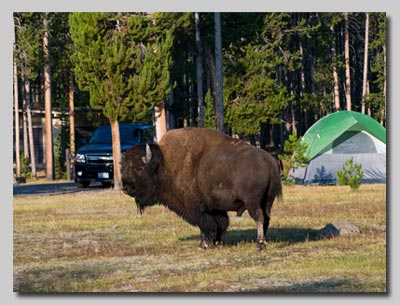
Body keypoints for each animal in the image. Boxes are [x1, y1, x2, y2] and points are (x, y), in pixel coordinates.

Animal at [122, 127, 282, 249]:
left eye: (139, 169)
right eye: (123, 167)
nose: (126, 188)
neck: (164, 165)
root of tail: (270, 161)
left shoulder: (197, 207)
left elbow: (206, 225)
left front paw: (203, 244)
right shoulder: (215, 208)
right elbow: (220, 223)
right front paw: (217, 243)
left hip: (252, 202)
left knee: (259, 217)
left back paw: (260, 245)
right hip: (267, 200)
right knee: (266, 218)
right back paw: (263, 241)